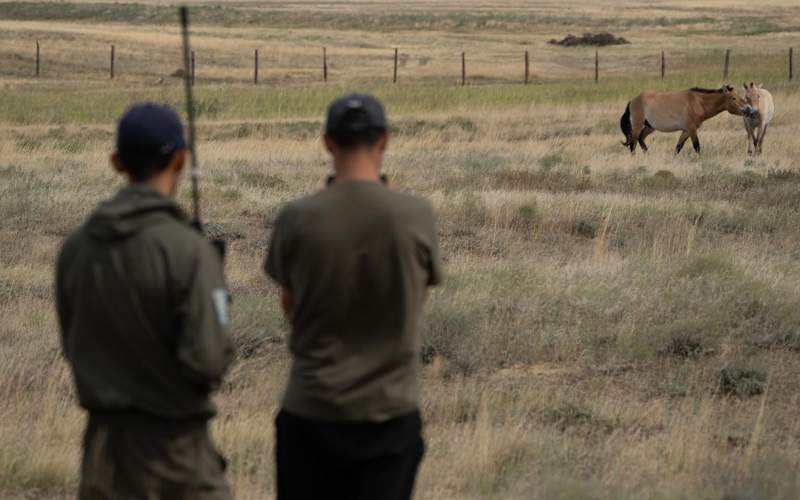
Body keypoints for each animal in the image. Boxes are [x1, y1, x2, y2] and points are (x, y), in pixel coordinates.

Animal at [620, 85, 752, 154]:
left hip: (650, 127)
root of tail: (633, 100)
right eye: (733, 98)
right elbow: (697, 146)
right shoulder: (692, 129)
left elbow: (678, 147)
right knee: (633, 143)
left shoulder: (686, 130)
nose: (748, 109)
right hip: (638, 125)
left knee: (641, 139)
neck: (697, 102)